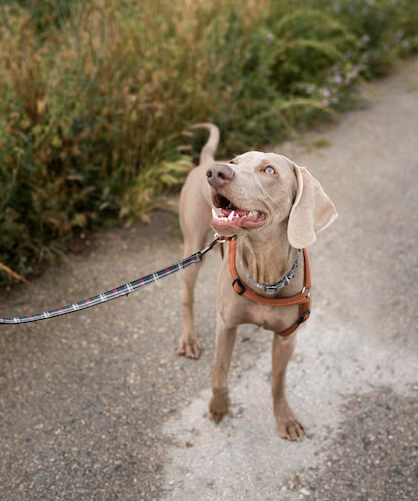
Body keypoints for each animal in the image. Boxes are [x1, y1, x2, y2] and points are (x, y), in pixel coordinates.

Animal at [178, 123, 338, 440]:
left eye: (269, 170)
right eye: (235, 161)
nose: (217, 172)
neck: (266, 276)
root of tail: (204, 159)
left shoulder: (288, 337)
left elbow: (278, 383)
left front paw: (285, 418)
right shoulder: (226, 324)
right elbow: (219, 373)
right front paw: (218, 407)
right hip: (193, 247)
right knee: (187, 295)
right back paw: (189, 340)